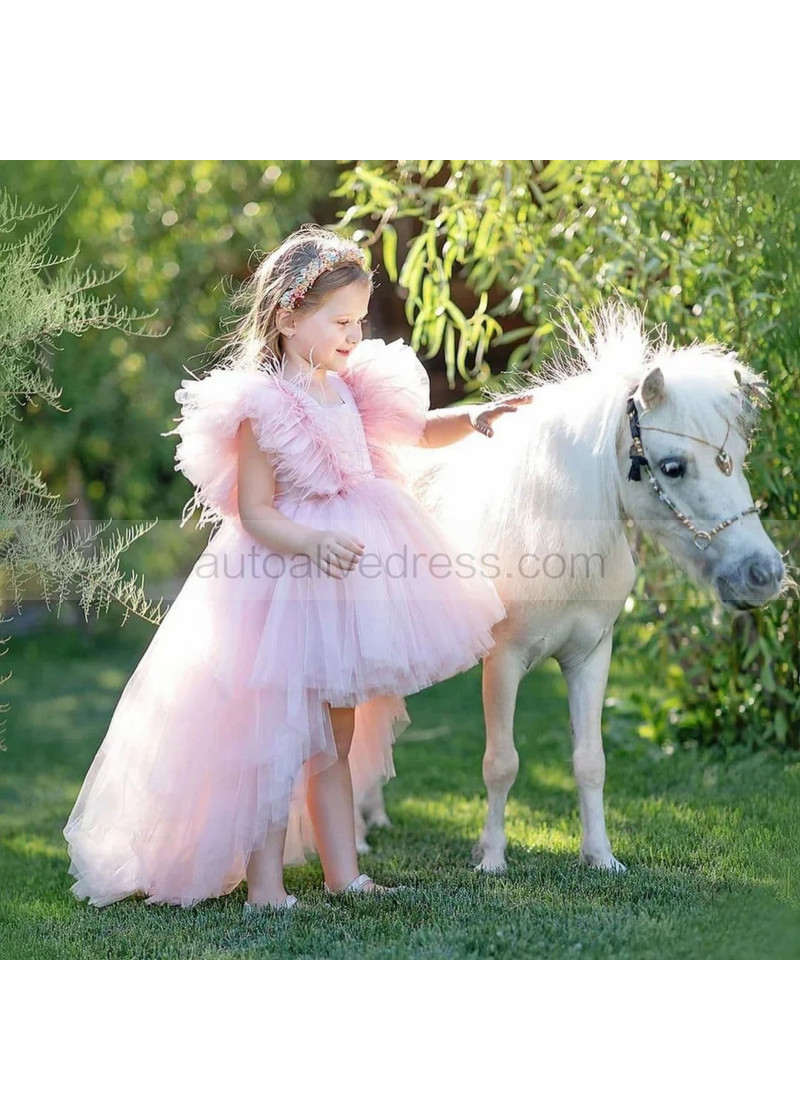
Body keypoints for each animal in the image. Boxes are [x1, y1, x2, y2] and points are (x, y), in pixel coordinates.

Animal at [360, 304, 784, 873]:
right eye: (673, 466)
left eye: (738, 457)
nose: (764, 575)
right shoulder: (504, 662)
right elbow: (501, 763)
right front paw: (491, 858)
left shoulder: (591, 656)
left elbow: (590, 761)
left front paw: (600, 856)